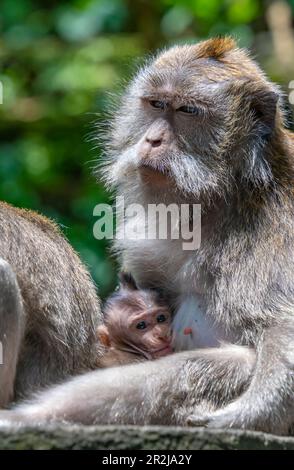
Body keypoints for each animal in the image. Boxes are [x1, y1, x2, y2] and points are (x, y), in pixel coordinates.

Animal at [0, 38, 294, 436]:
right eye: (156, 104)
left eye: (187, 110)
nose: (152, 139)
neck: (223, 198)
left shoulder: (275, 225)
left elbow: (282, 324)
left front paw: (251, 412)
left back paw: (27, 417)